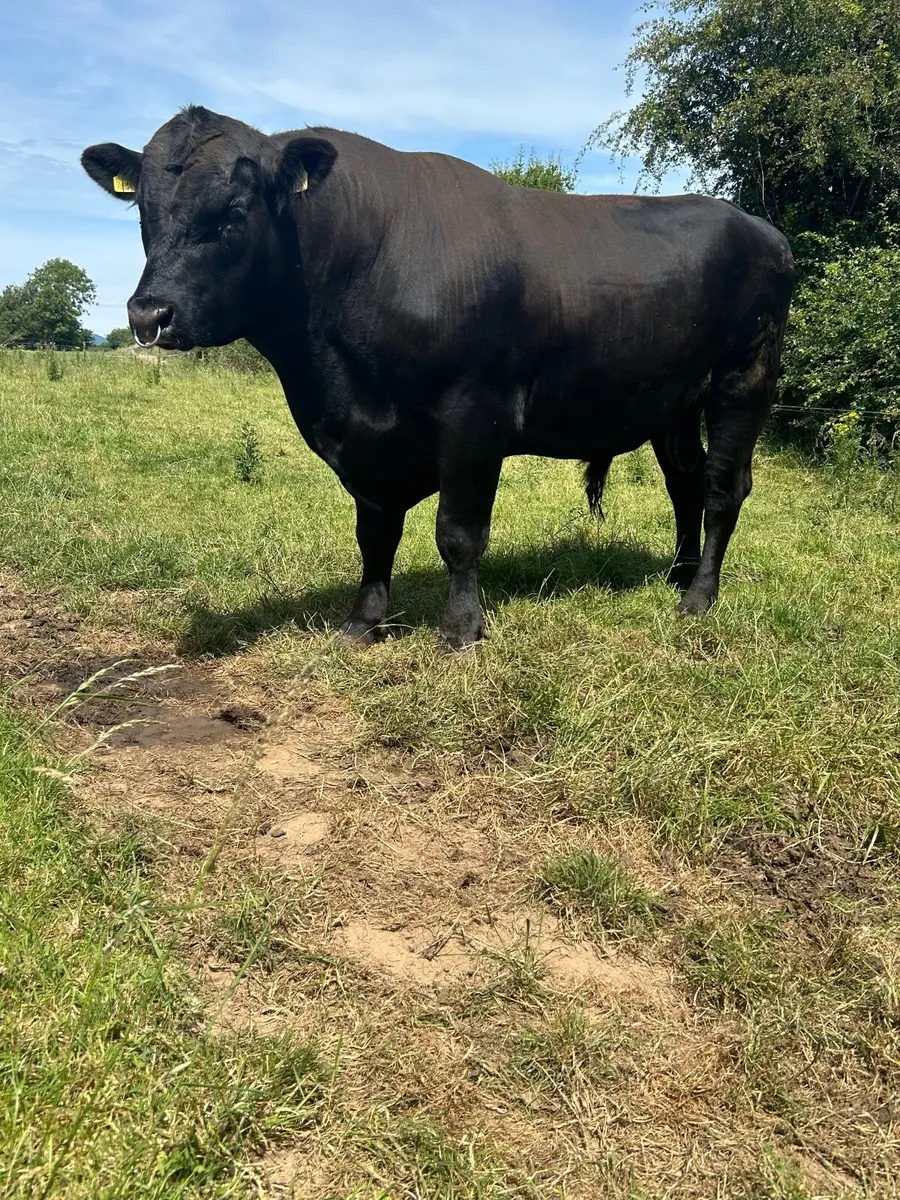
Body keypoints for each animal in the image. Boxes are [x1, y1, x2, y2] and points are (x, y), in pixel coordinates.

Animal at [82, 106, 795, 649]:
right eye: (144, 211)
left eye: (233, 210)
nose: (149, 314)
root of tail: (761, 229)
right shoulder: (366, 442)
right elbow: (375, 535)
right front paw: (363, 623)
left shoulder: (473, 413)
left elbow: (458, 531)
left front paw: (460, 629)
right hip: (673, 401)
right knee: (685, 483)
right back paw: (676, 574)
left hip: (744, 380)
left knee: (722, 490)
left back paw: (698, 598)